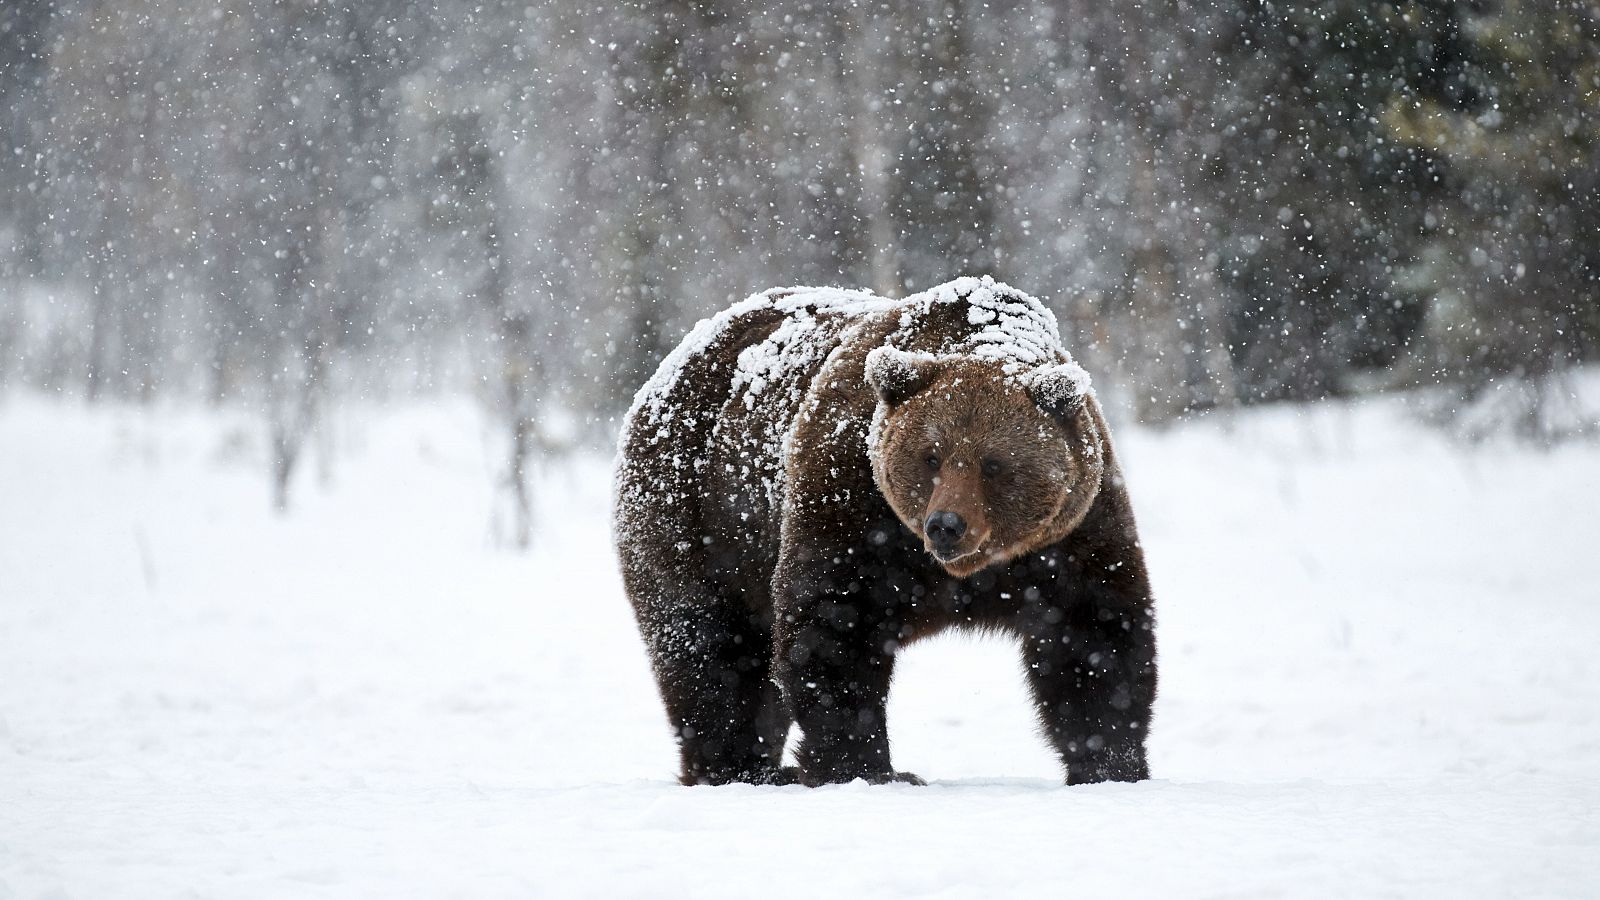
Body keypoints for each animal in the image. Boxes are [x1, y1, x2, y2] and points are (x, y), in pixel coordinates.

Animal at [608, 275, 1152, 784]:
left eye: (993, 464)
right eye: (931, 457)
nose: (946, 525)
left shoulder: (1069, 535)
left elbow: (1095, 637)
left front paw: (1113, 765)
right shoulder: (850, 502)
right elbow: (832, 627)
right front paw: (866, 767)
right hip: (696, 512)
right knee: (709, 649)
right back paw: (739, 767)